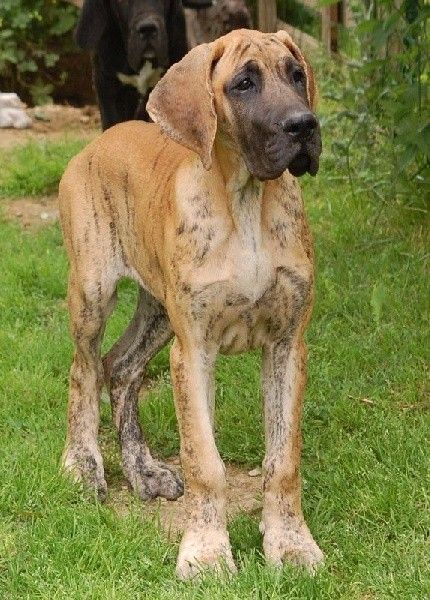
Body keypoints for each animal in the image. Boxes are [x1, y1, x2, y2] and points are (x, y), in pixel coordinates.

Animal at [59, 28, 323, 579]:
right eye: (243, 83)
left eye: (296, 75)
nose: (305, 125)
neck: (246, 202)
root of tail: (97, 141)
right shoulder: (194, 350)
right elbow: (205, 462)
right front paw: (205, 553)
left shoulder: (288, 346)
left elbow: (282, 460)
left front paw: (290, 543)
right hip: (93, 292)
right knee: (85, 370)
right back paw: (84, 466)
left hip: (158, 310)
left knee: (122, 367)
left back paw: (144, 471)